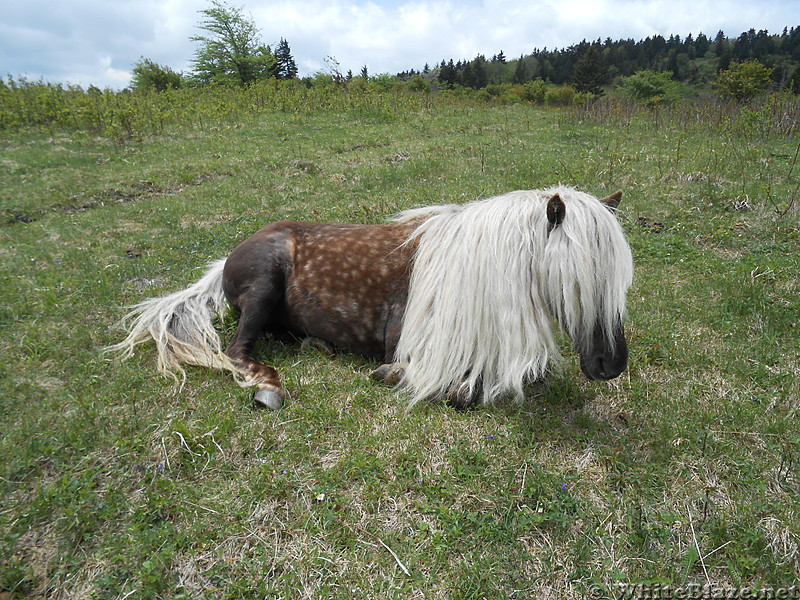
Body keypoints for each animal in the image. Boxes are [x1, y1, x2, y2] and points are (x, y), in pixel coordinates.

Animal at [108, 188, 632, 410]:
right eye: (577, 281)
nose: (612, 365)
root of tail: (225, 262)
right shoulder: (410, 346)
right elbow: (457, 389)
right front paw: (393, 376)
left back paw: (315, 344)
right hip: (263, 284)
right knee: (238, 350)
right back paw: (270, 387)